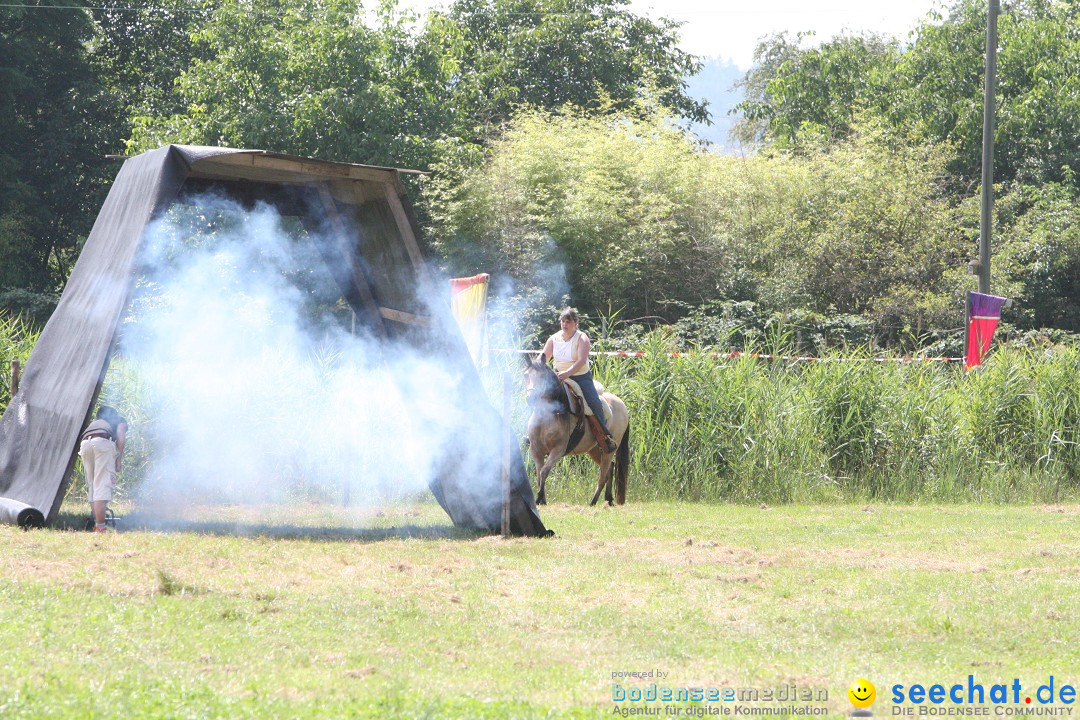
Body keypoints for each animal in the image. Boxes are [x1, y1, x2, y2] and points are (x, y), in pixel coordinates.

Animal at [520, 356, 630, 507]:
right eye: (526, 375)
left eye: (543, 377)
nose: (531, 398)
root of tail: (622, 405)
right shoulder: (536, 450)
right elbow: (538, 475)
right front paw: (542, 500)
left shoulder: (558, 450)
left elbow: (544, 472)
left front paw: (539, 499)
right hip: (595, 449)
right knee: (610, 468)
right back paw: (608, 499)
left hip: (610, 449)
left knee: (603, 475)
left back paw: (593, 502)